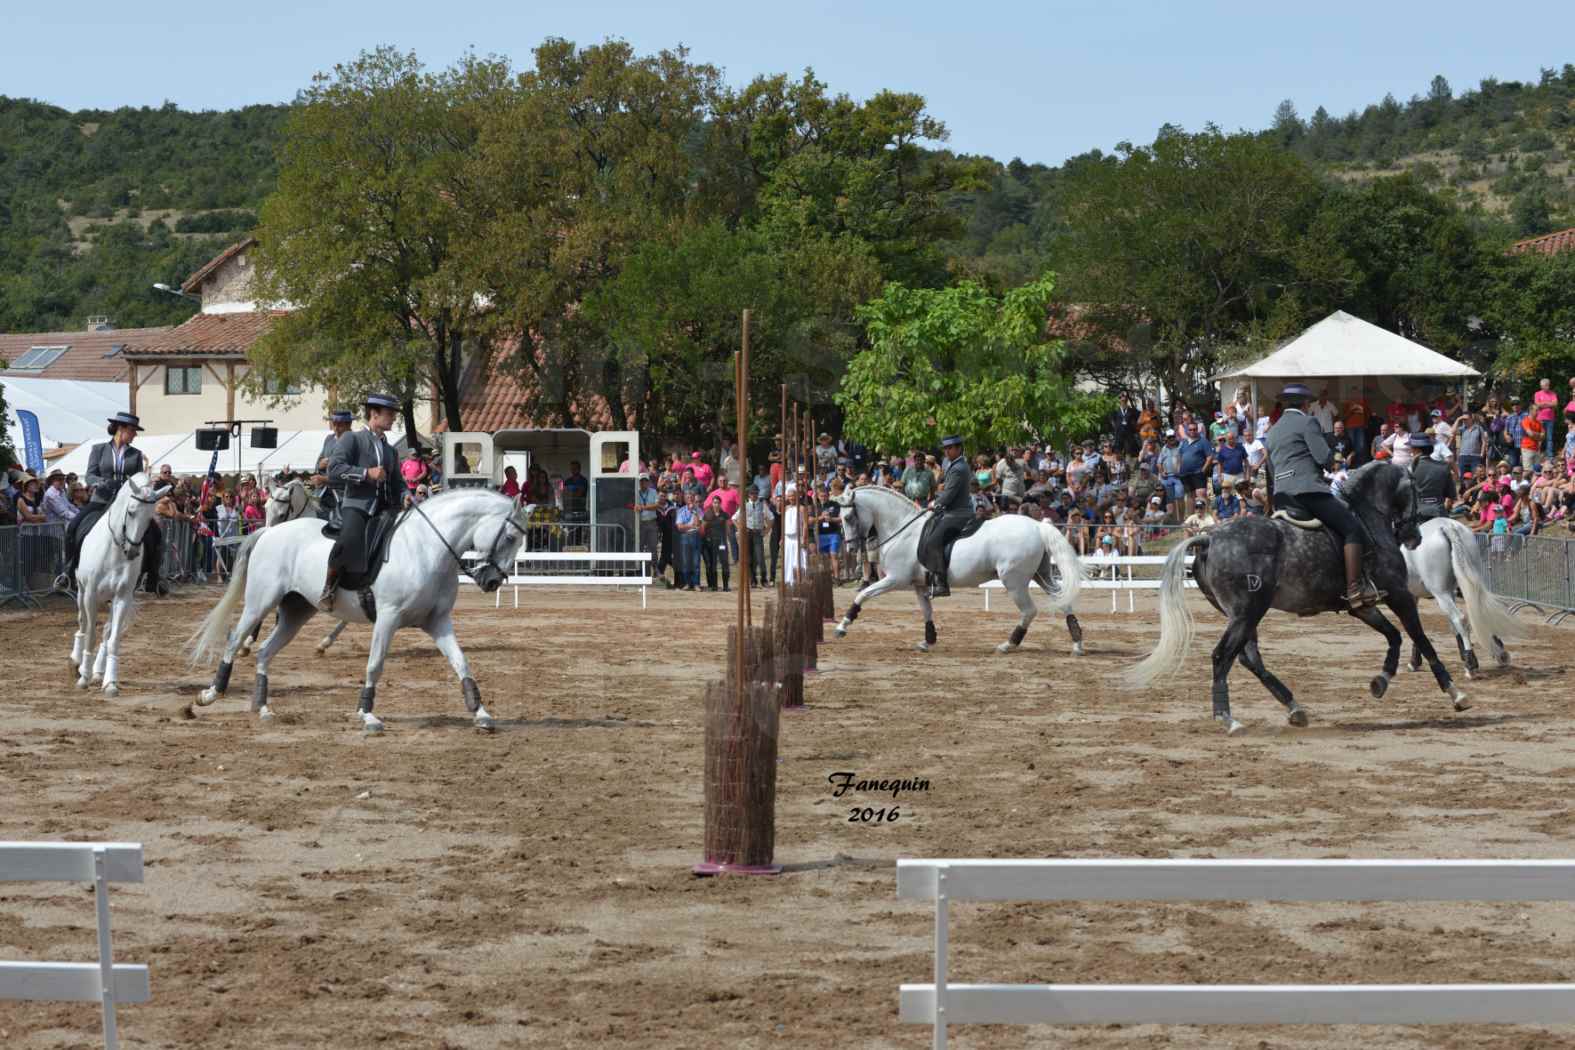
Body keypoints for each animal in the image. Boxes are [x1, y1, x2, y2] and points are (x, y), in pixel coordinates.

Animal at [68, 472, 170, 692]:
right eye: (131, 512)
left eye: (149, 517)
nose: (132, 552)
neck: (114, 549)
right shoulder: (90, 595)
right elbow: (90, 634)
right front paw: (84, 677)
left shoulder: (122, 597)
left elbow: (113, 639)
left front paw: (109, 682)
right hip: (81, 590)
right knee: (82, 622)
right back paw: (76, 662)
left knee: (106, 630)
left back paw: (98, 671)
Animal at [184, 491, 529, 730]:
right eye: (510, 537)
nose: (492, 581)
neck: (426, 549)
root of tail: (269, 532)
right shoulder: (388, 619)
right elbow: (375, 665)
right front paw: (367, 714)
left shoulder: (438, 622)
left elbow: (462, 663)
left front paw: (481, 713)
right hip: (261, 601)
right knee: (235, 640)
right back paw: (210, 695)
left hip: (296, 613)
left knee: (265, 652)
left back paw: (263, 708)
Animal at [831, 488, 1089, 651]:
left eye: (849, 517)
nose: (851, 547)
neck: (902, 530)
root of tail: (1037, 526)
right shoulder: (919, 585)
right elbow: (927, 611)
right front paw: (928, 641)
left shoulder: (896, 579)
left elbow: (863, 594)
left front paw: (842, 626)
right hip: (1042, 575)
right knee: (1063, 602)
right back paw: (1077, 643)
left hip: (1014, 581)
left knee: (1029, 611)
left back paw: (1008, 644)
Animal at [1121, 462, 1461, 736]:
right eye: (1417, 488)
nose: (1414, 537)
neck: (1367, 516)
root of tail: (1209, 537)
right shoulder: (1399, 594)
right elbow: (1419, 637)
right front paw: (1454, 691)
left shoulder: (1361, 606)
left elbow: (1394, 636)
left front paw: (1381, 681)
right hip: (1247, 611)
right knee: (1223, 656)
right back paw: (1228, 719)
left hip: (1244, 614)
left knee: (1248, 658)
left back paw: (1294, 708)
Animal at [1404, 516, 1524, 683]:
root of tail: (1447, 526)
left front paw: (1414, 662)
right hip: (1465, 583)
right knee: (1474, 613)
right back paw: (1499, 655)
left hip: (1440, 593)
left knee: (1459, 619)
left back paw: (1470, 666)